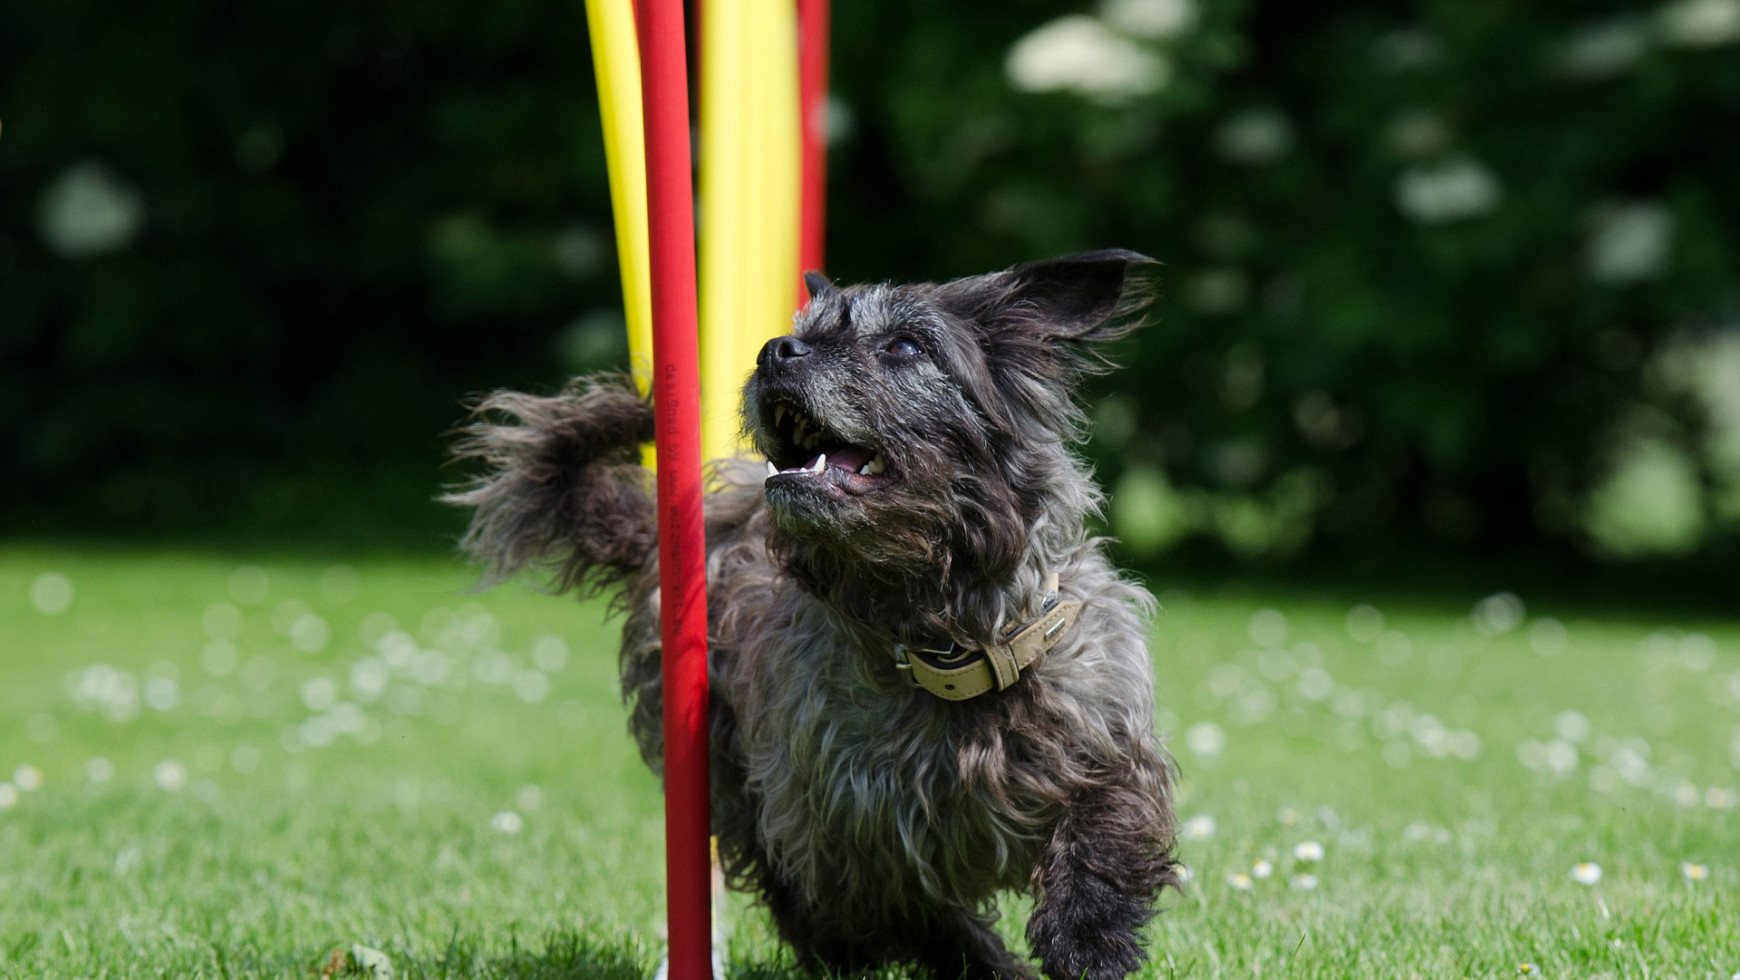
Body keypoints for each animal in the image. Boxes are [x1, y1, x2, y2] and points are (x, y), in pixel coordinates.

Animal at [445, 250, 1183, 980]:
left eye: (905, 345)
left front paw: (1088, 940)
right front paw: (998, 968)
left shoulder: (1104, 736)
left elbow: (1104, 825)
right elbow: (931, 923)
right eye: (804, 330)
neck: (943, 645)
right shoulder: (844, 847)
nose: (774, 351)